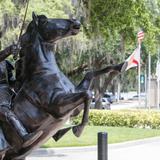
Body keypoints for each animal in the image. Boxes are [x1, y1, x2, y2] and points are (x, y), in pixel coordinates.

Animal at [1, 12, 126, 160]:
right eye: (44, 20)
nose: (75, 22)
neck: (43, 72)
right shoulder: (57, 106)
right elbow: (87, 94)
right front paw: (77, 130)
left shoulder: (75, 102)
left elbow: (89, 75)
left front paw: (120, 66)